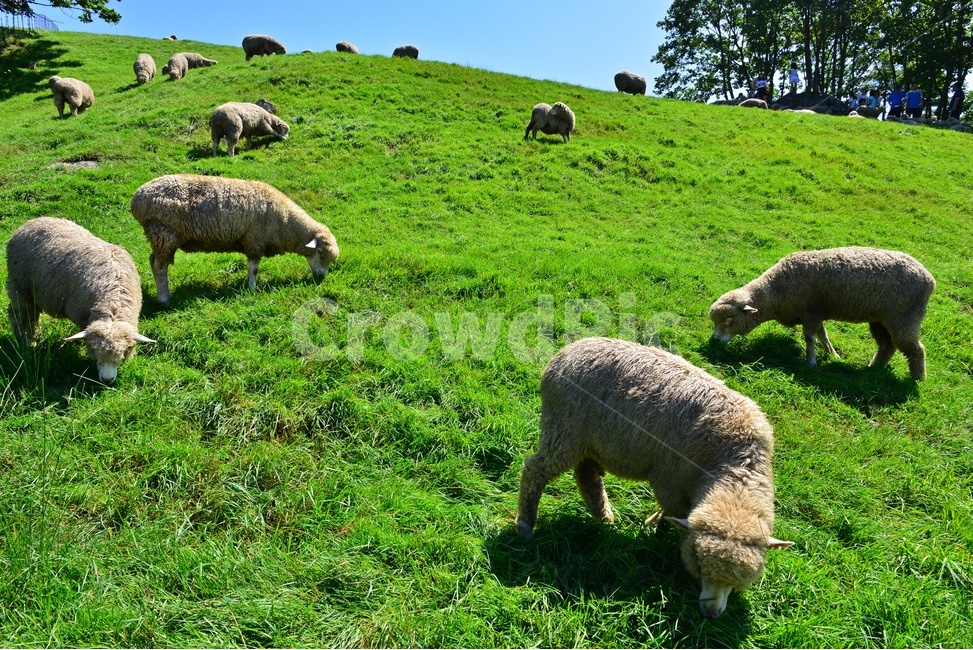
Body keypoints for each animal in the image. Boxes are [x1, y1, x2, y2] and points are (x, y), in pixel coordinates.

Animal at [6, 217, 154, 383]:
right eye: (96, 353)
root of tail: (32, 221)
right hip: (19, 286)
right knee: (20, 315)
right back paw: (27, 342)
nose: (107, 380)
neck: (113, 305)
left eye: (120, 355)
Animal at [130, 174, 339, 305]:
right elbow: (254, 269)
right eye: (320, 251)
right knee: (160, 266)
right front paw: (252, 288)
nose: (321, 277)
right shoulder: (254, 241)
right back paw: (164, 298)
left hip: (159, 237)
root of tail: (137, 198)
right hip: (164, 234)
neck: (284, 222)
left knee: (154, 261)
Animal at [516, 337, 792, 619]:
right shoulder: (668, 478)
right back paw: (526, 524)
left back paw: (604, 517)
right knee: (535, 470)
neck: (733, 461)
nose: (711, 613)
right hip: (564, 429)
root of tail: (567, 350)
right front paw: (659, 528)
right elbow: (674, 512)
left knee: (586, 474)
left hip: (589, 441)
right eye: (699, 566)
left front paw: (657, 523)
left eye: (739, 579)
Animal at [709, 247, 935, 380]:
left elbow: (810, 338)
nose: (715, 341)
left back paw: (917, 378)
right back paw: (874, 367)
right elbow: (822, 334)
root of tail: (930, 279)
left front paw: (811, 362)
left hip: (905, 317)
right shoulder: (816, 313)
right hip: (880, 319)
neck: (776, 290)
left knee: (916, 349)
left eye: (730, 319)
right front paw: (832, 354)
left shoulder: (810, 312)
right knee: (888, 345)